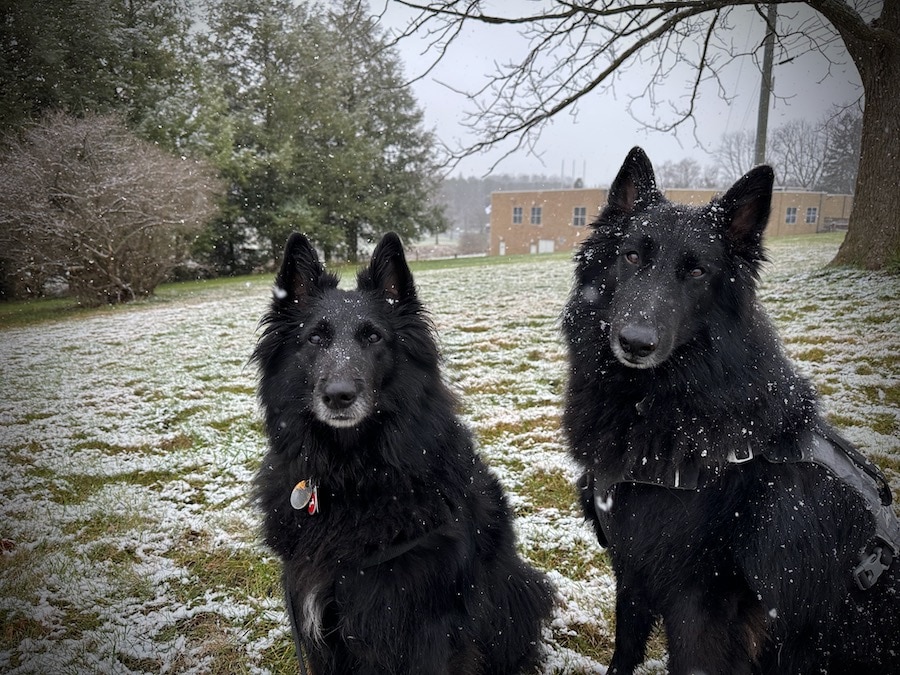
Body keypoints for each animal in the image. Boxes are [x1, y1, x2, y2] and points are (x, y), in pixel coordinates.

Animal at [564, 149, 900, 675]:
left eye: (697, 272)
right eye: (632, 255)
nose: (635, 343)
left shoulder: (698, 604)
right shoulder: (634, 565)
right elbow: (625, 648)